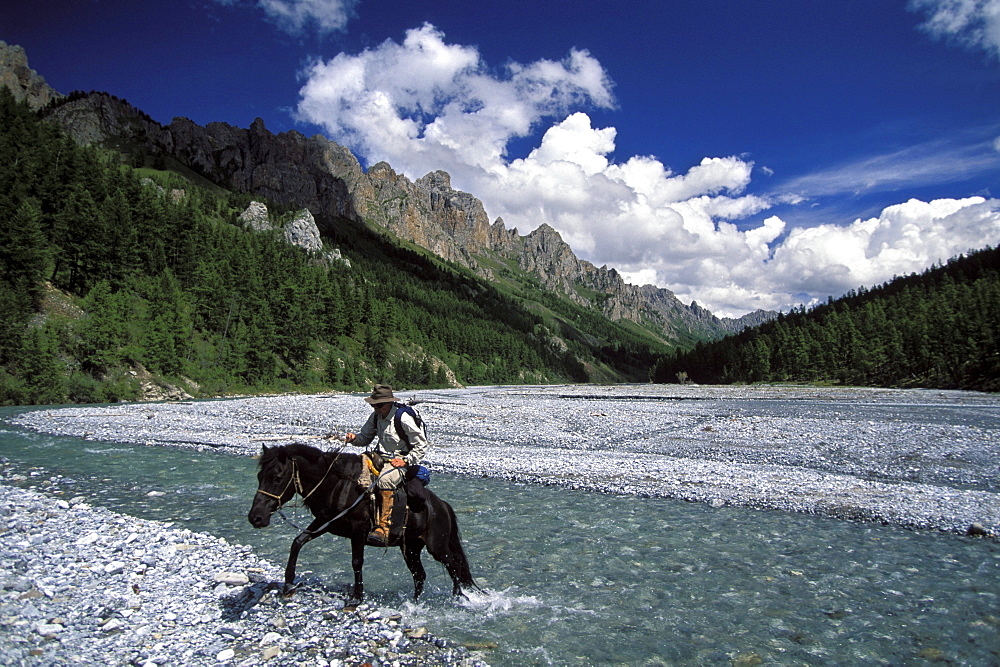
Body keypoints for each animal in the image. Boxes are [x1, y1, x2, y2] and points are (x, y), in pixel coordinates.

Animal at [245, 444, 472, 604]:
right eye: (259, 476)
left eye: (277, 477)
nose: (256, 517)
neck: (336, 485)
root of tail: (441, 505)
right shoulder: (324, 522)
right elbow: (298, 542)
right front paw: (288, 584)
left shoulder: (358, 529)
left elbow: (356, 562)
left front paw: (356, 598)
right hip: (411, 548)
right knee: (420, 575)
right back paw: (416, 603)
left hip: (436, 546)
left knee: (454, 564)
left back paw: (458, 597)